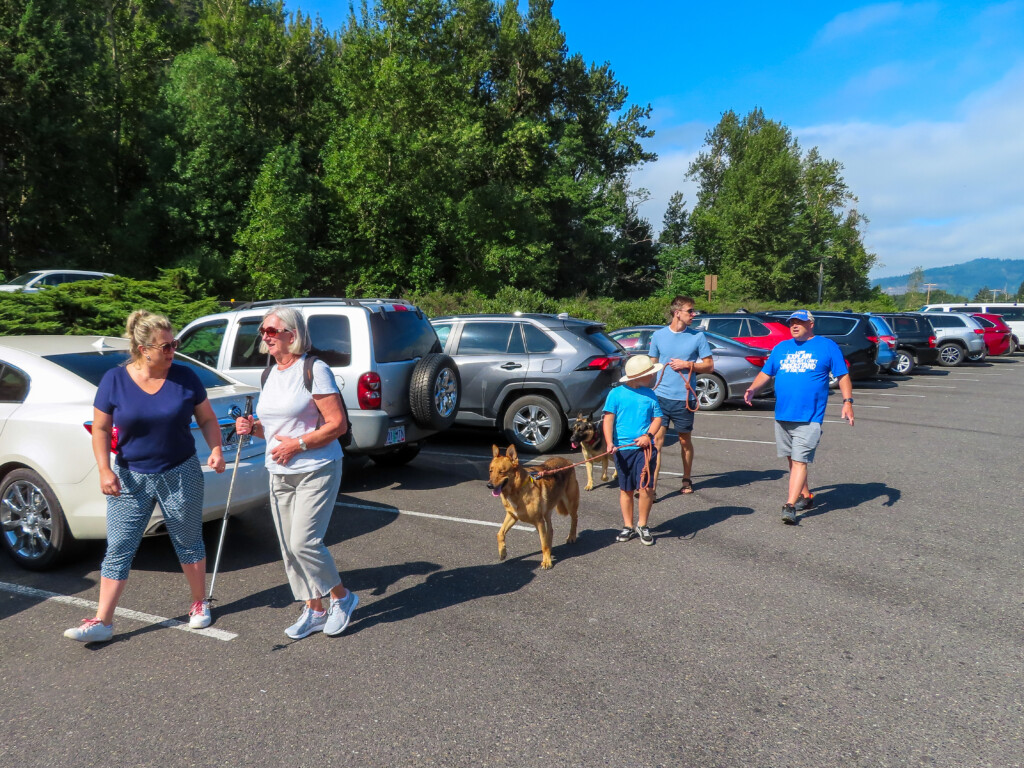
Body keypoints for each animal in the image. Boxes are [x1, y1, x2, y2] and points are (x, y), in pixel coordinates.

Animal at [485, 444, 577, 573]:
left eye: (502, 472)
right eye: (490, 471)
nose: (489, 485)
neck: (517, 490)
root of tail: (567, 460)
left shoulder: (539, 521)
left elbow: (543, 545)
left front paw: (547, 562)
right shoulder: (512, 516)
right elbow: (500, 533)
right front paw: (502, 551)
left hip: (570, 504)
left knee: (574, 519)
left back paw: (571, 536)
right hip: (547, 512)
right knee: (550, 530)